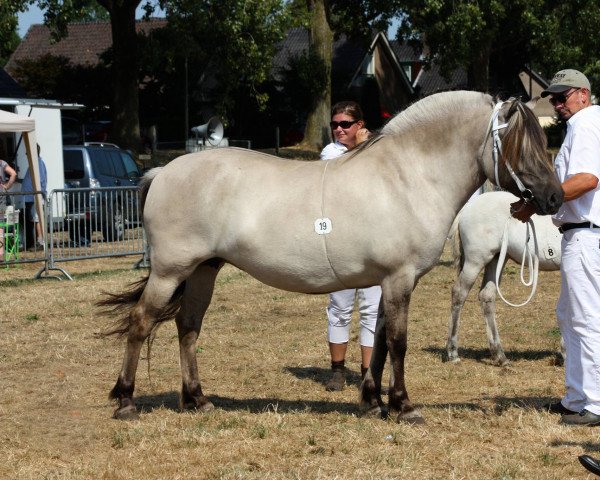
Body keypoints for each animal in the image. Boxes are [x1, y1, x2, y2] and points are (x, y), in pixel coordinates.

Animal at [446, 189, 564, 366]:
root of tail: (467, 208)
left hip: (496, 260)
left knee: (487, 296)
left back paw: (499, 355)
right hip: (476, 260)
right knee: (459, 294)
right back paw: (453, 353)